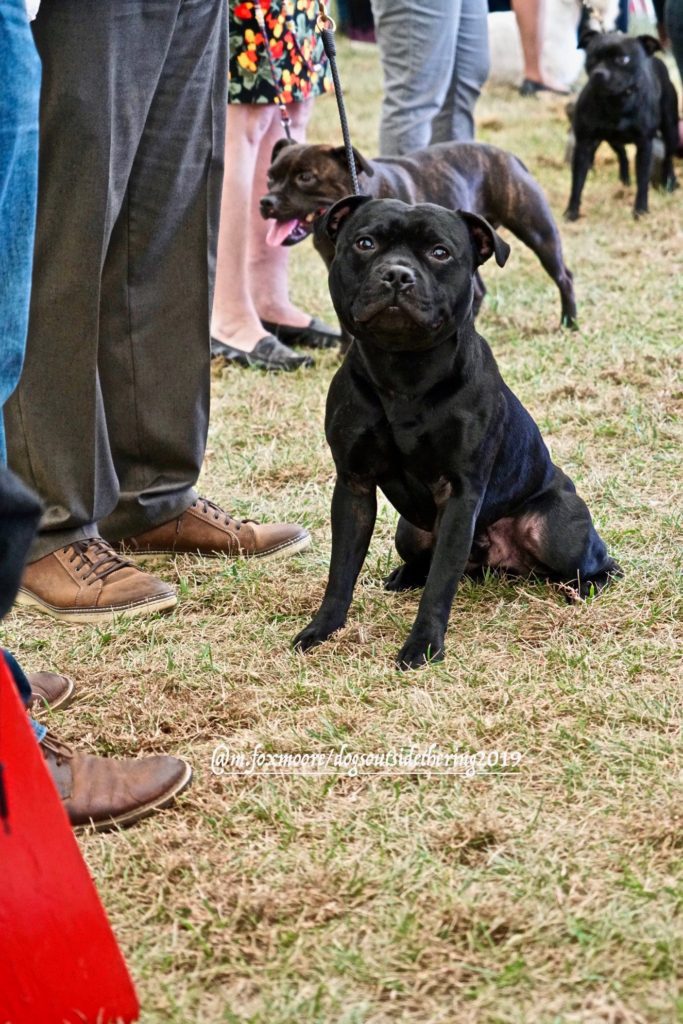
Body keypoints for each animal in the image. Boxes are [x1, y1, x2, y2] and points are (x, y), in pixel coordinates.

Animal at [290, 196, 622, 671]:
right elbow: (341, 572)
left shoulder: (460, 493)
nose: (397, 274)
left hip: (554, 529)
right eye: (365, 243)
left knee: (600, 562)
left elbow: (441, 583)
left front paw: (423, 646)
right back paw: (403, 575)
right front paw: (322, 630)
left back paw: (586, 586)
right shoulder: (354, 485)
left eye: (440, 252)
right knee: (424, 560)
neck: (404, 374)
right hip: (410, 531)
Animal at [565, 29, 679, 220]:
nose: (599, 73)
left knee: (668, 156)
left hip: (671, 129)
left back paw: (669, 182)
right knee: (623, 154)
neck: (616, 101)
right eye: (592, 57)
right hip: (610, 139)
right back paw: (624, 182)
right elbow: (577, 181)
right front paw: (571, 211)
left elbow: (643, 180)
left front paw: (640, 210)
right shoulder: (584, 144)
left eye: (623, 59)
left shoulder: (644, 145)